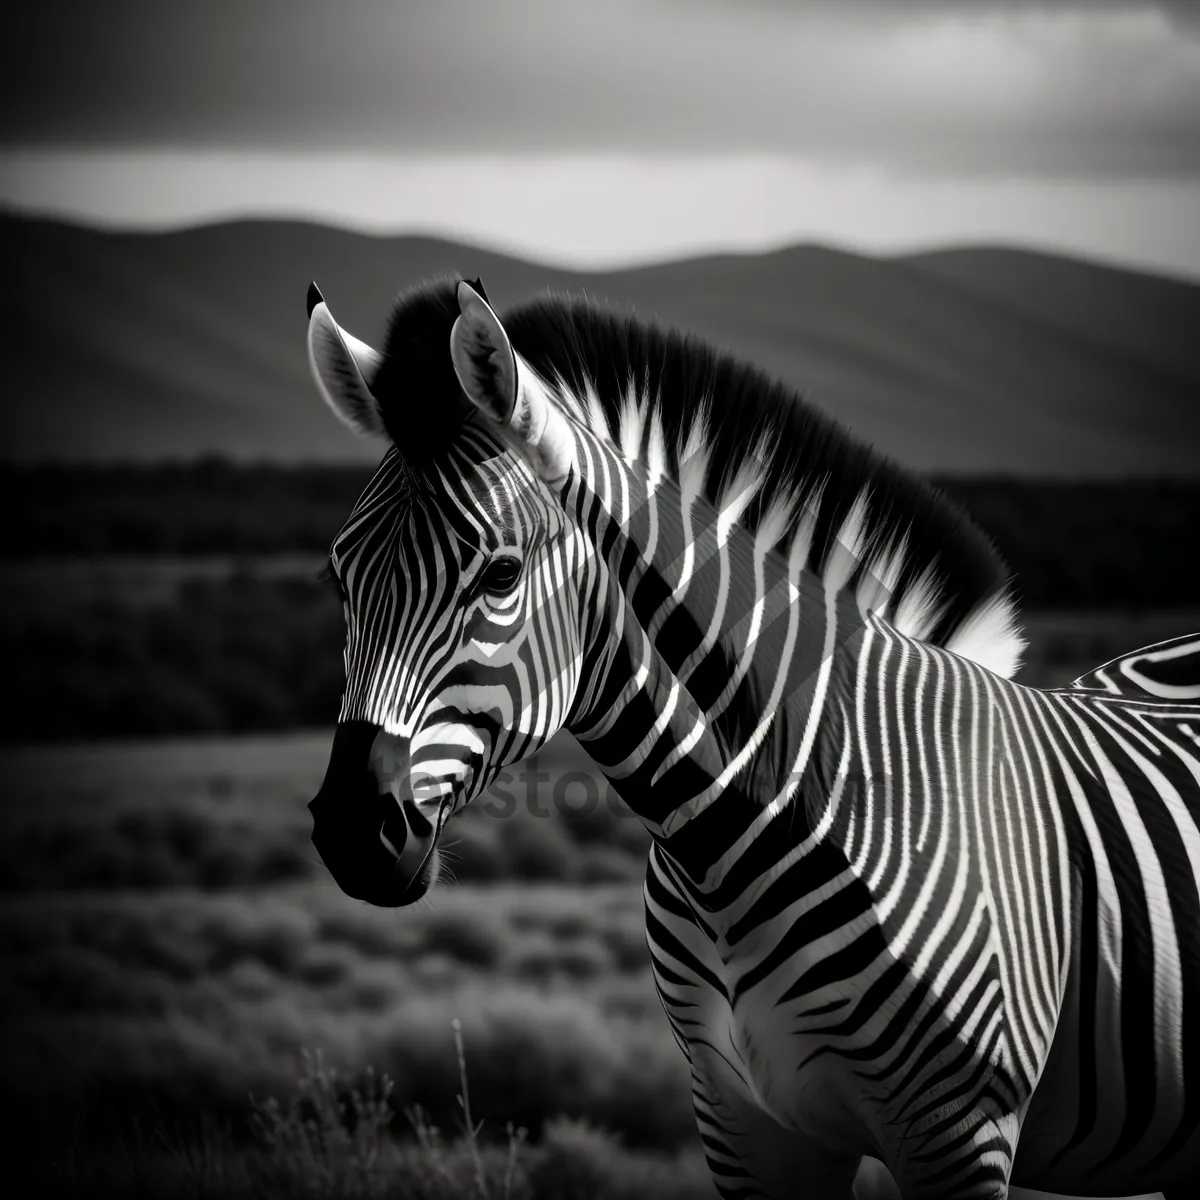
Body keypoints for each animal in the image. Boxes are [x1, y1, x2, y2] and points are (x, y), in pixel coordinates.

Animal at [302, 274, 1200, 1200]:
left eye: (502, 573)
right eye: (339, 576)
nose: (353, 832)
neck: (730, 851)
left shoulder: (962, 1131)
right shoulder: (744, 1125)